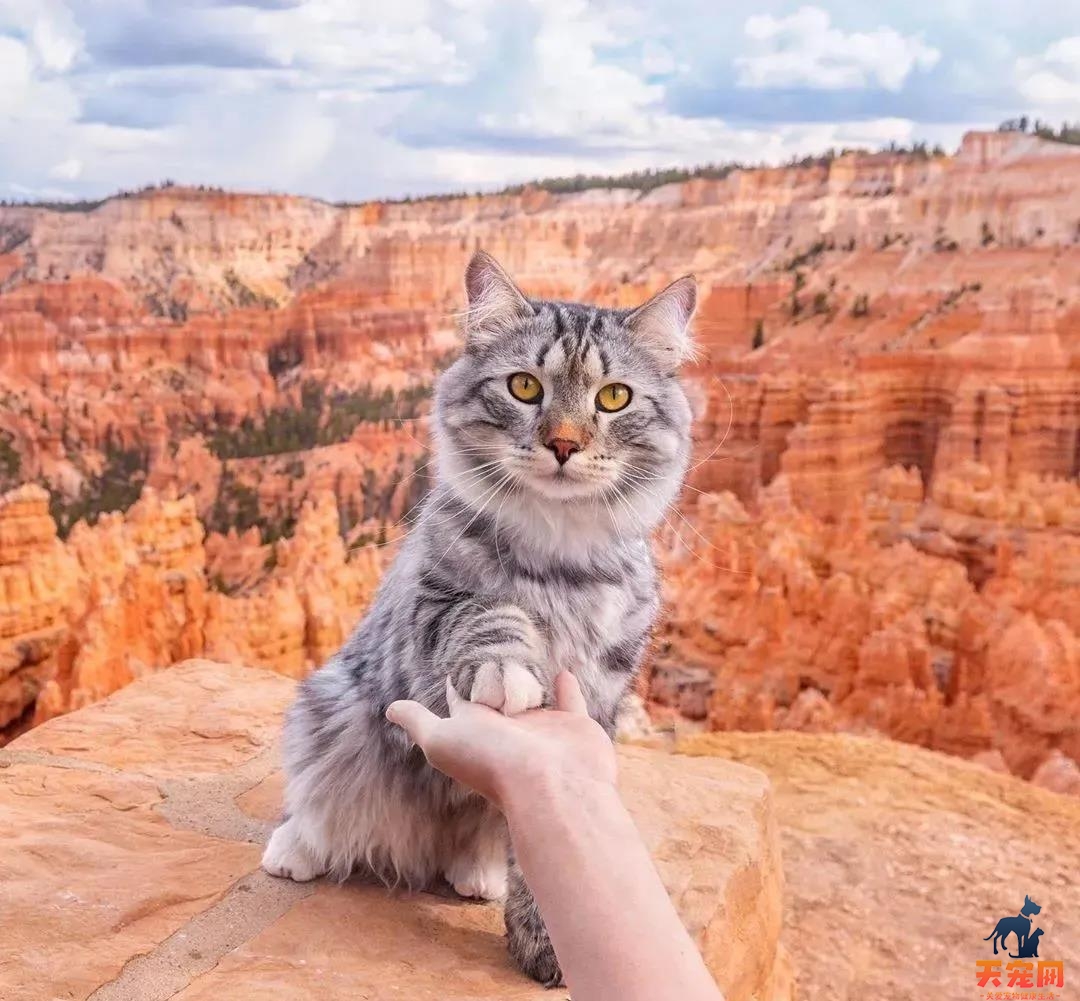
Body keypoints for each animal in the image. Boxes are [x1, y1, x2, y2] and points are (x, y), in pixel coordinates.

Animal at [265, 250, 695, 984]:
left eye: (614, 398)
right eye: (524, 387)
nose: (563, 444)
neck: (559, 562)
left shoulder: (606, 690)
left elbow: (539, 858)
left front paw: (544, 940)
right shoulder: (432, 599)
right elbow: (490, 613)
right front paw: (506, 668)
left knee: (476, 840)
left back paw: (475, 872)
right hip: (333, 706)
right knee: (322, 804)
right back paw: (295, 848)